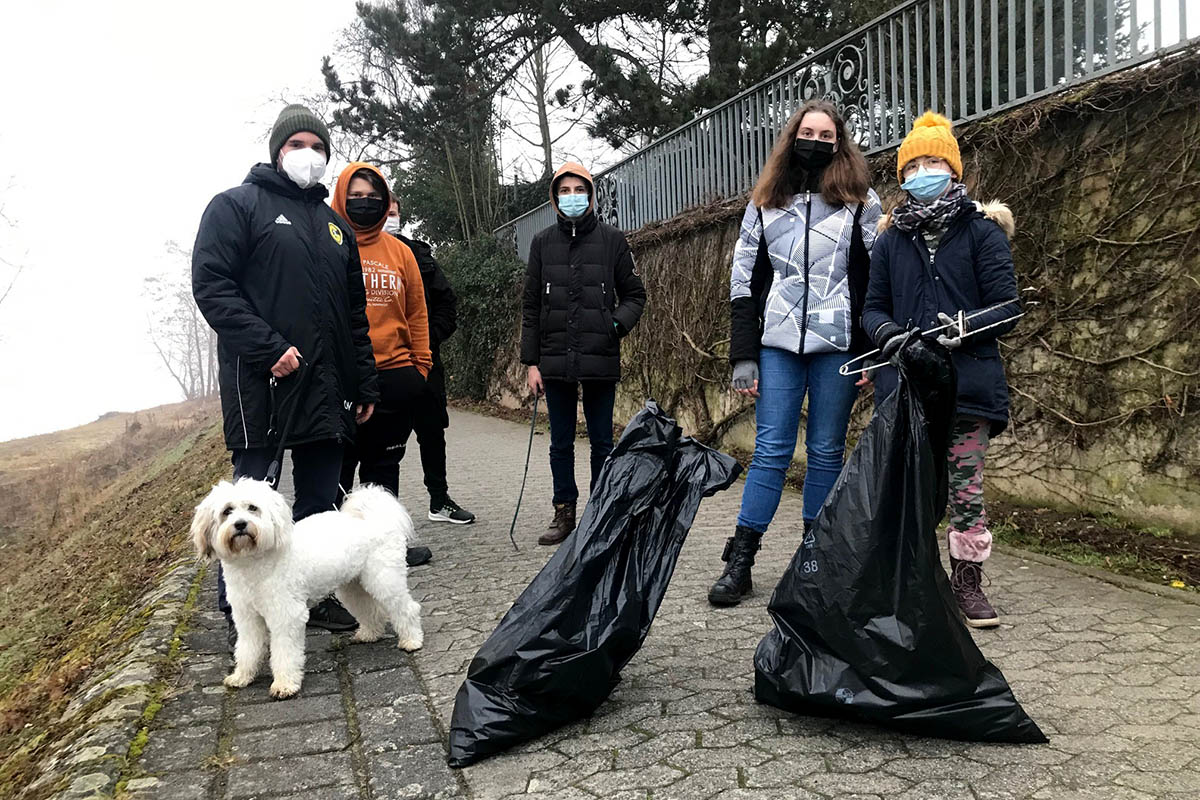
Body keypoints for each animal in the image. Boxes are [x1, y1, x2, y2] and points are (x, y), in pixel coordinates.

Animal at [190, 479, 422, 695]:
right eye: (227, 511)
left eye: (252, 508)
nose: (240, 524)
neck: (254, 564)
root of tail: (375, 518)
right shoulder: (247, 618)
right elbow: (247, 648)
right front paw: (242, 676)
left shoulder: (286, 615)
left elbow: (285, 652)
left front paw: (284, 684)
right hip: (352, 586)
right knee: (370, 609)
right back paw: (370, 633)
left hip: (384, 579)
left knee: (406, 609)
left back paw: (412, 640)